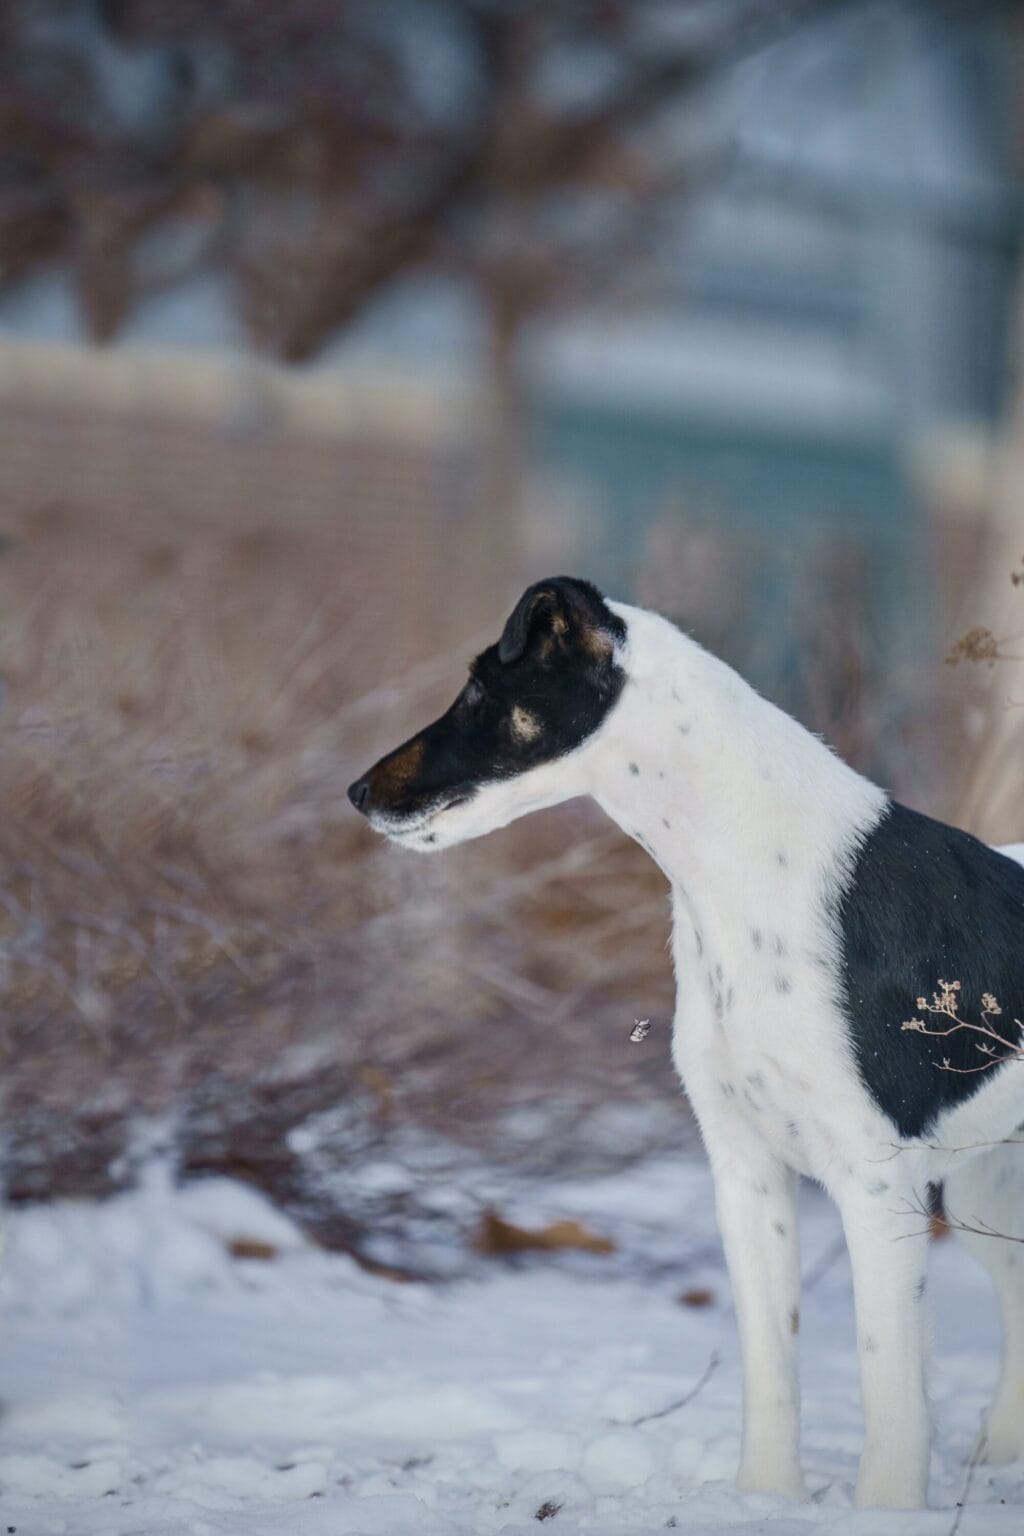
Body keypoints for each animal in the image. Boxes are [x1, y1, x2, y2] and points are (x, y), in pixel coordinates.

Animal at [350, 577, 1024, 1511]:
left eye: (482, 689)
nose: (356, 791)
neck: (753, 874)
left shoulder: (872, 1185)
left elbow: (889, 1387)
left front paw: (886, 1514)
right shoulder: (746, 1171)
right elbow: (771, 1369)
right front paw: (764, 1501)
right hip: (985, 1197)